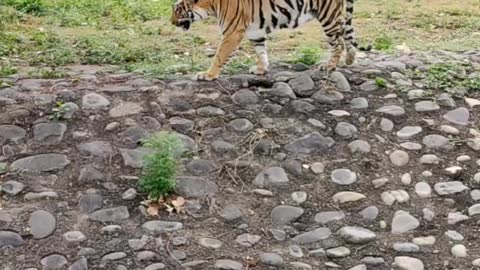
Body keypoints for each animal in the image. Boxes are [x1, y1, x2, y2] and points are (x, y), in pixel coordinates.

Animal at [172, 0, 368, 81]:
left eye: (177, 10)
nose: (172, 22)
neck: (211, 6)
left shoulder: (232, 33)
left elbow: (219, 56)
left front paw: (208, 75)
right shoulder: (255, 32)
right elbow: (261, 51)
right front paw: (261, 69)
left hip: (327, 16)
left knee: (338, 42)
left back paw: (330, 66)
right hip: (335, 16)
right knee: (347, 33)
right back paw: (349, 59)